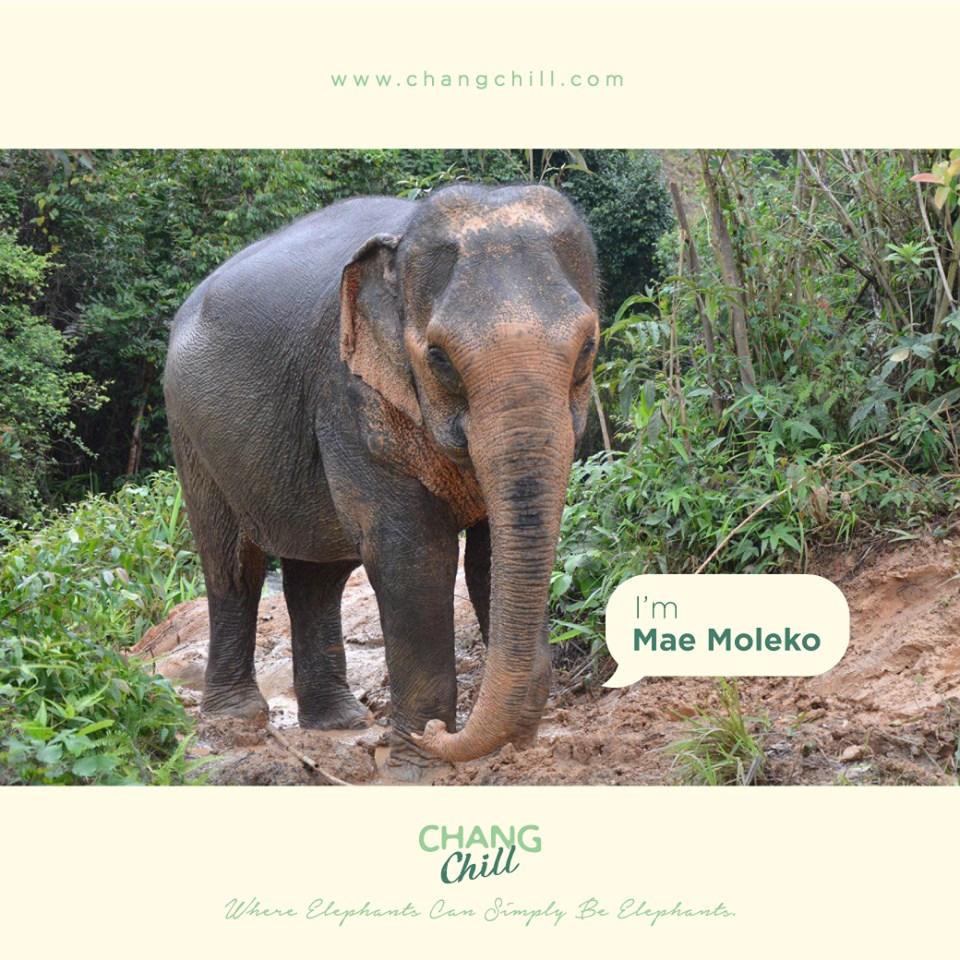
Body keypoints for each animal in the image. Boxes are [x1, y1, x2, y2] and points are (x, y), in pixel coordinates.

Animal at [163, 183, 599, 773]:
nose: (439, 731)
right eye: (439, 358)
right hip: (191, 431)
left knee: (317, 575)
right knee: (233, 565)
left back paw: (339, 722)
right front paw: (417, 762)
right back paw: (238, 721)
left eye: (588, 348)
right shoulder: (346, 391)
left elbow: (488, 557)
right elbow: (411, 555)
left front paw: (510, 749)